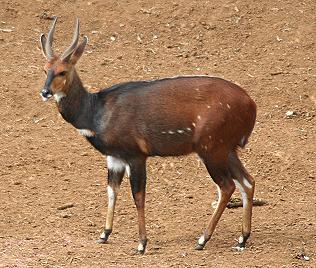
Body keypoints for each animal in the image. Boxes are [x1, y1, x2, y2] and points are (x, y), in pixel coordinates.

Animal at [39, 18, 256, 253]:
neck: (96, 112)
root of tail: (251, 105)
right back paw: (241, 239)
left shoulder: (136, 155)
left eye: (62, 71)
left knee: (227, 186)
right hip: (227, 149)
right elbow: (111, 191)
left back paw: (202, 240)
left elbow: (138, 196)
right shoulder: (114, 157)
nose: (45, 92)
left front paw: (142, 244)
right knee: (247, 181)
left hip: (211, 148)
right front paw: (104, 234)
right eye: (45, 70)